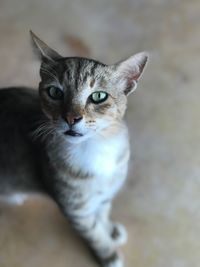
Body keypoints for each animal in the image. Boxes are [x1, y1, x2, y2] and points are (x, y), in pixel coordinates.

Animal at [0, 32, 148, 267]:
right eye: (54, 92)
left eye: (98, 96)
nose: (71, 118)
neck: (94, 147)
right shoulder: (76, 211)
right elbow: (94, 233)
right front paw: (108, 253)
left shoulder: (105, 195)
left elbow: (103, 213)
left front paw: (110, 230)